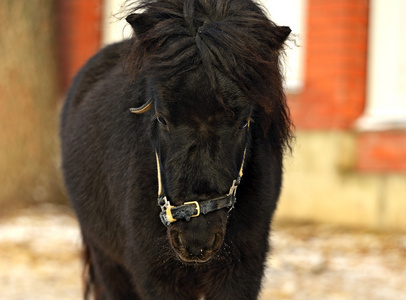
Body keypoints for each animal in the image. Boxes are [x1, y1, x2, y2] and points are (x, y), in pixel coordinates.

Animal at [59, 0, 292, 298]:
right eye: (162, 119)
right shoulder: (155, 276)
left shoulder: (242, 272)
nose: (196, 239)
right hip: (107, 261)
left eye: (243, 122)